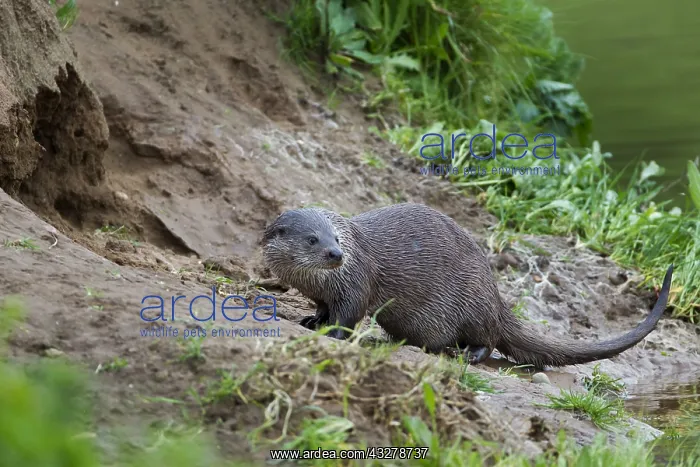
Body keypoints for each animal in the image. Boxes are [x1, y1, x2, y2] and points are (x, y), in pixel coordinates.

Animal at [260, 202, 674, 368]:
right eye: (312, 239)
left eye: (336, 239)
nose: (335, 254)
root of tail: (495, 295)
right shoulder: (322, 292)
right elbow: (322, 308)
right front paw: (311, 321)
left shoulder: (356, 280)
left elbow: (348, 315)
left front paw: (330, 333)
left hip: (473, 305)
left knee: (488, 339)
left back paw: (468, 355)